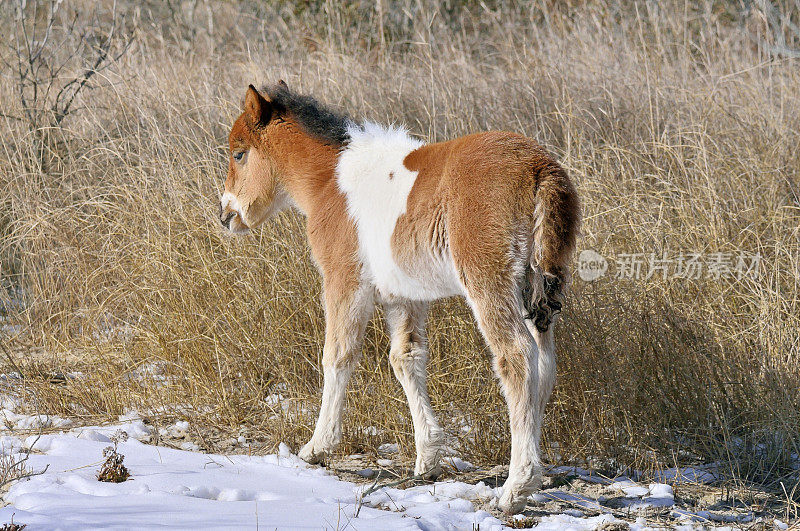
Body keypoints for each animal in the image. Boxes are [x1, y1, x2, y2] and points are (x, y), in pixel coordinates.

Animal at [219, 83, 580, 516]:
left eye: (239, 153)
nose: (226, 215)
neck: (330, 182)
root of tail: (540, 167)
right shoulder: (403, 296)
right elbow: (406, 359)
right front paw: (428, 459)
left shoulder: (344, 281)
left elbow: (337, 355)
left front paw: (316, 447)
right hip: (534, 290)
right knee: (544, 362)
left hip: (489, 281)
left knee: (517, 357)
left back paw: (517, 487)